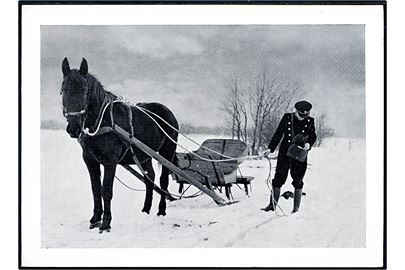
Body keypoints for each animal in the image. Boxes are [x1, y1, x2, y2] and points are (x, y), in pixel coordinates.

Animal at [60, 58, 178, 233]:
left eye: (85, 91)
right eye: (63, 90)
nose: (73, 127)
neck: (102, 121)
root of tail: (167, 112)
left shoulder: (110, 161)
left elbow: (106, 190)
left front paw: (106, 223)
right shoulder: (90, 160)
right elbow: (96, 190)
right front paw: (95, 219)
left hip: (167, 153)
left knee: (163, 181)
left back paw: (161, 211)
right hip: (144, 155)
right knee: (149, 177)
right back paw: (145, 210)